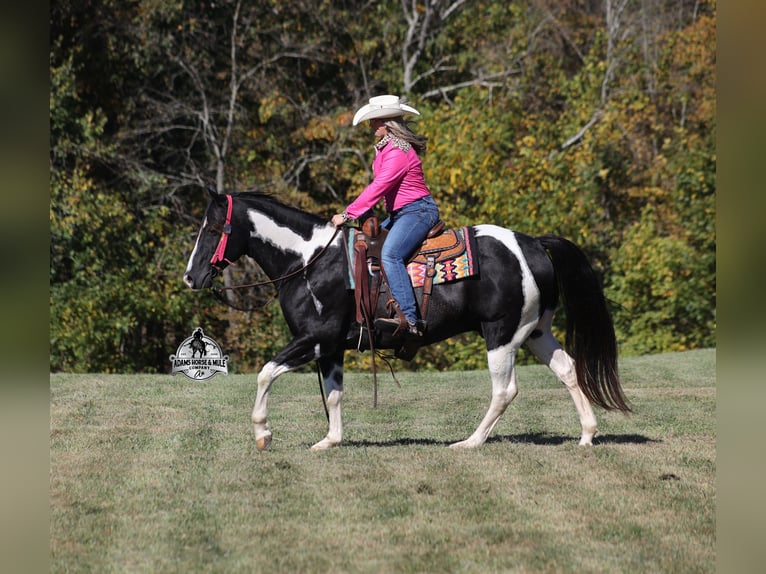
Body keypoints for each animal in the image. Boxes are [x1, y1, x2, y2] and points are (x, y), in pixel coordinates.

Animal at [183, 190, 630, 451]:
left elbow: (265, 372)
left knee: (505, 390)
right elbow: (334, 395)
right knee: (568, 369)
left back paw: (469, 443)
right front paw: (330, 441)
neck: (310, 260)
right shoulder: (330, 347)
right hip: (536, 331)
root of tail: (534, 243)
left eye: (213, 227)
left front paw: (262, 433)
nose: (190, 277)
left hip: (502, 334)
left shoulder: (315, 337)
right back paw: (587, 435)